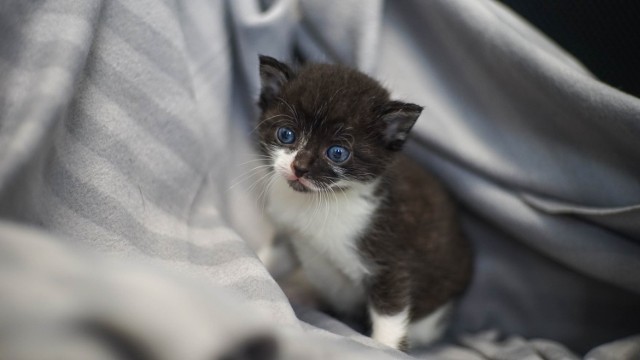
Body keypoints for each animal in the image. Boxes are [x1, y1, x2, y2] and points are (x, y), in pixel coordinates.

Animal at [254, 54, 470, 350]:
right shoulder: (292, 233)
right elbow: (274, 256)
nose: (299, 167)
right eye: (286, 134)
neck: (323, 201)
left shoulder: (390, 261)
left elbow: (390, 315)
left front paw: (387, 349)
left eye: (337, 152)